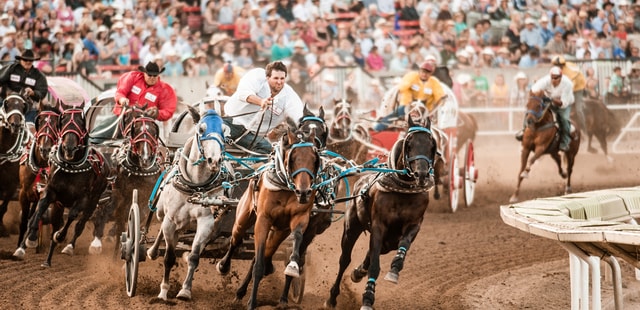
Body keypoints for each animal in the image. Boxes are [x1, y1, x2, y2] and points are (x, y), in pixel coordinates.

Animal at [17, 101, 112, 266]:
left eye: (82, 122)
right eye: (40, 120)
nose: (69, 147)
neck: (70, 166)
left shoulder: (83, 198)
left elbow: (72, 217)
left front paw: (60, 237)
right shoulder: (44, 192)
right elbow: (34, 216)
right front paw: (25, 244)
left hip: (93, 201)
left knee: (81, 223)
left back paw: (69, 245)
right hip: (58, 204)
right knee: (53, 221)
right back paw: (47, 260)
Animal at [146, 104, 232, 300]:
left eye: (224, 130)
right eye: (201, 129)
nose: (215, 160)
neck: (196, 186)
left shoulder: (206, 222)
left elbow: (194, 256)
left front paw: (185, 290)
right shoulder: (170, 220)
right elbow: (169, 257)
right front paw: (163, 292)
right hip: (162, 214)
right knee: (161, 229)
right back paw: (152, 251)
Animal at [218, 128, 322, 308]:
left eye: (314, 159)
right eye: (293, 158)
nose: (303, 192)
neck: (285, 187)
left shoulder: (299, 218)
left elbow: (297, 238)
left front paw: (292, 267)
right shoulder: (263, 220)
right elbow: (258, 266)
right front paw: (252, 303)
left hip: (278, 232)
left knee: (262, 254)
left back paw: (241, 292)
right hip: (243, 218)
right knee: (235, 240)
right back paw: (224, 267)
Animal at [328, 116, 438, 310]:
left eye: (431, 145)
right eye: (409, 144)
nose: (422, 174)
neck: (403, 190)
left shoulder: (414, 225)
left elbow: (403, 245)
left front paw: (394, 270)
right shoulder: (379, 226)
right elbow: (374, 266)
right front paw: (367, 298)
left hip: (389, 241)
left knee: (374, 252)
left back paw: (358, 272)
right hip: (351, 229)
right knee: (345, 260)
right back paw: (333, 296)